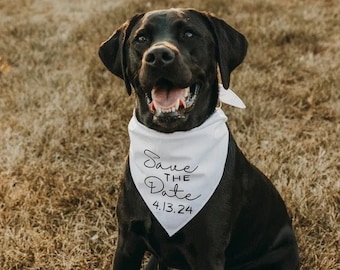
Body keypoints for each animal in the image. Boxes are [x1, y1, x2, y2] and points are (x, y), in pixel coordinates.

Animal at [97, 7, 298, 268]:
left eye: (189, 34)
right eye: (141, 38)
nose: (158, 56)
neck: (171, 145)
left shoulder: (207, 253)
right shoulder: (128, 241)